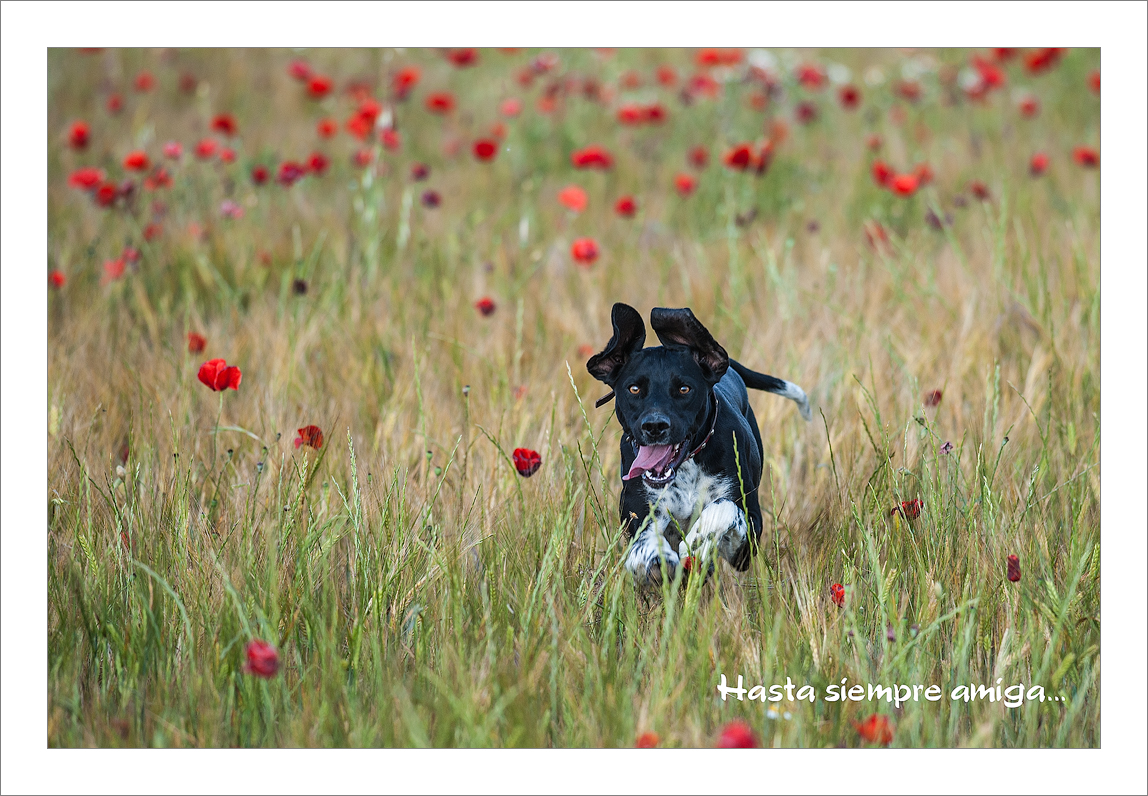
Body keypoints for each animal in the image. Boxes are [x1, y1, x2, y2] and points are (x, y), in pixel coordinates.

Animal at [587, 303, 812, 583]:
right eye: (634, 389)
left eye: (684, 389)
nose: (654, 426)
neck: (687, 467)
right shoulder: (640, 513)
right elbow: (643, 545)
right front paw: (655, 559)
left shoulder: (749, 537)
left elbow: (724, 509)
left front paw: (698, 537)